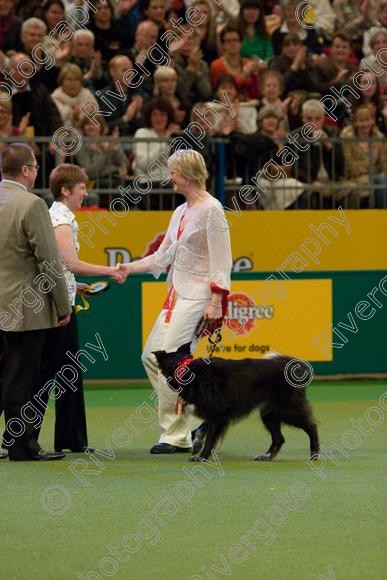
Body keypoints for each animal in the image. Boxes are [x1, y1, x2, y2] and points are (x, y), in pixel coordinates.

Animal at [153, 344, 320, 462]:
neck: (186, 370)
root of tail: (294, 366)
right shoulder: (215, 415)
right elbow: (203, 430)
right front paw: (196, 445)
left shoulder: (217, 414)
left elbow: (210, 438)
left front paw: (202, 457)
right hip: (268, 413)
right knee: (279, 438)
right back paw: (266, 456)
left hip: (287, 409)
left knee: (311, 426)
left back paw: (314, 454)